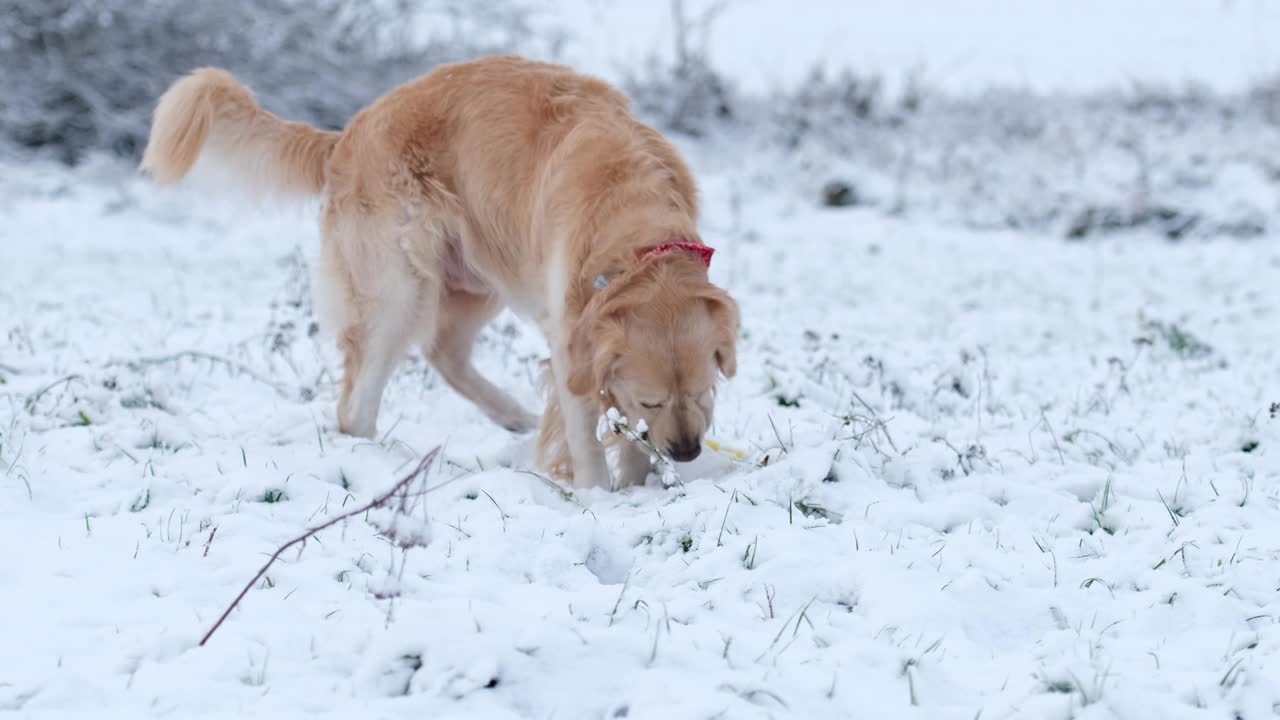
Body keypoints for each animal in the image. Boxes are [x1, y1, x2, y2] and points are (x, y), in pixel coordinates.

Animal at [140, 56, 737, 486]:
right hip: (398, 289)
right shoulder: (573, 342)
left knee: (443, 352)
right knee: (356, 406)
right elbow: (588, 434)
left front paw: (638, 487)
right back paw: (380, 463)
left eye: (704, 391)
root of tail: (346, 135)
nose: (686, 452)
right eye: (653, 399)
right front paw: (599, 499)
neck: (631, 219)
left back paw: (512, 415)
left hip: (476, 277)